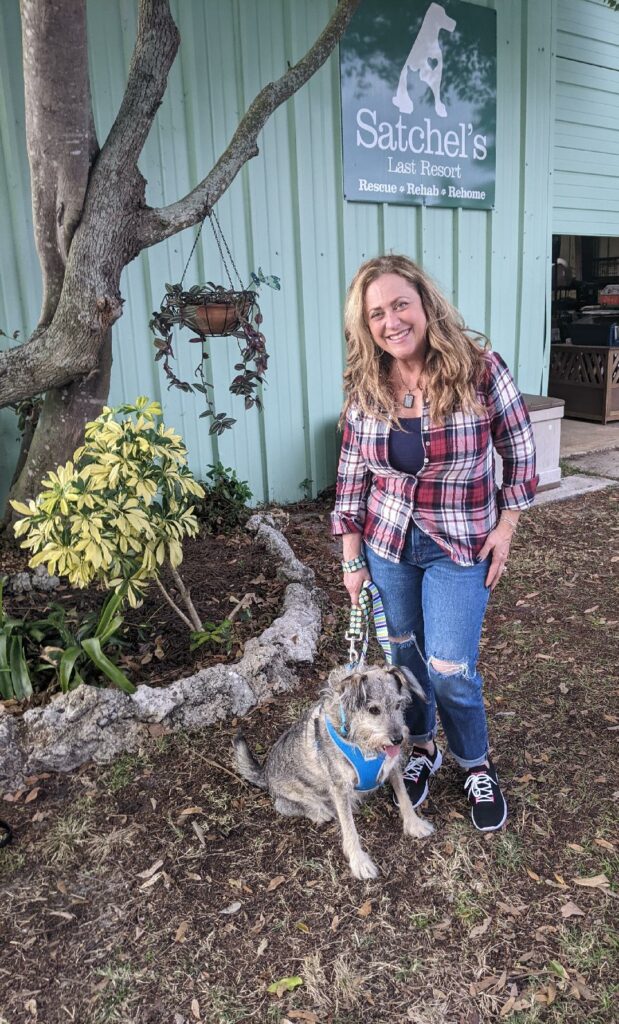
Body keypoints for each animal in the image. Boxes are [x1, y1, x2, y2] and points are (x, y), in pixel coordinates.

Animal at [234, 663, 432, 880]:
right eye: (373, 709)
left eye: (398, 705)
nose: (397, 739)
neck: (361, 740)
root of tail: (265, 774)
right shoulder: (340, 787)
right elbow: (349, 828)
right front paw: (359, 862)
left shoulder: (392, 766)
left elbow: (404, 796)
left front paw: (415, 824)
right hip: (293, 796)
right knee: (285, 806)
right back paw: (319, 812)